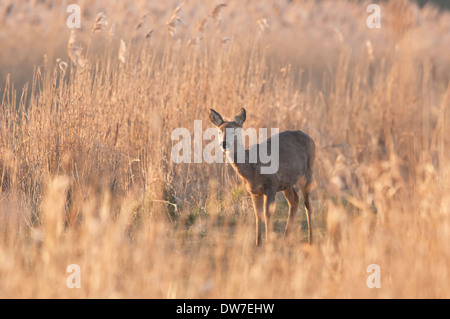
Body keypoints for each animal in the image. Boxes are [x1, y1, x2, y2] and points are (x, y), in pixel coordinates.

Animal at [208, 109, 316, 246]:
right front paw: (258, 243)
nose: (224, 143)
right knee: (295, 201)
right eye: (219, 131)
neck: (252, 169)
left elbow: (267, 213)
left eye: (234, 131)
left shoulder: (271, 184)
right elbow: (258, 215)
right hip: (287, 183)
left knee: (307, 204)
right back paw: (286, 238)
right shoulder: (254, 191)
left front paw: (268, 242)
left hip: (308, 172)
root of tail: (310, 138)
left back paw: (311, 239)